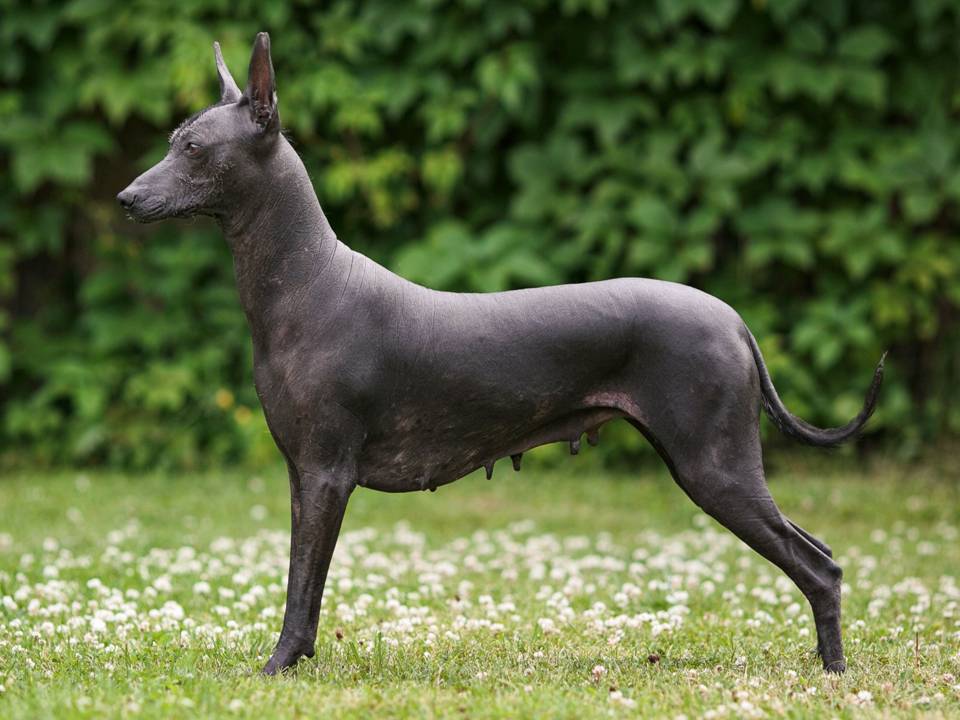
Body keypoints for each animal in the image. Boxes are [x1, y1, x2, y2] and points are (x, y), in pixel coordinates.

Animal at [118, 33, 884, 676]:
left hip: (713, 466)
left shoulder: (328, 474)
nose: (125, 198)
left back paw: (833, 673)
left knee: (819, 568)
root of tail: (734, 320)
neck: (308, 280)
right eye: (173, 141)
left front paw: (281, 667)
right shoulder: (302, 476)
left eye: (193, 148)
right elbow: (298, 578)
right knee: (821, 556)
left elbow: (304, 586)